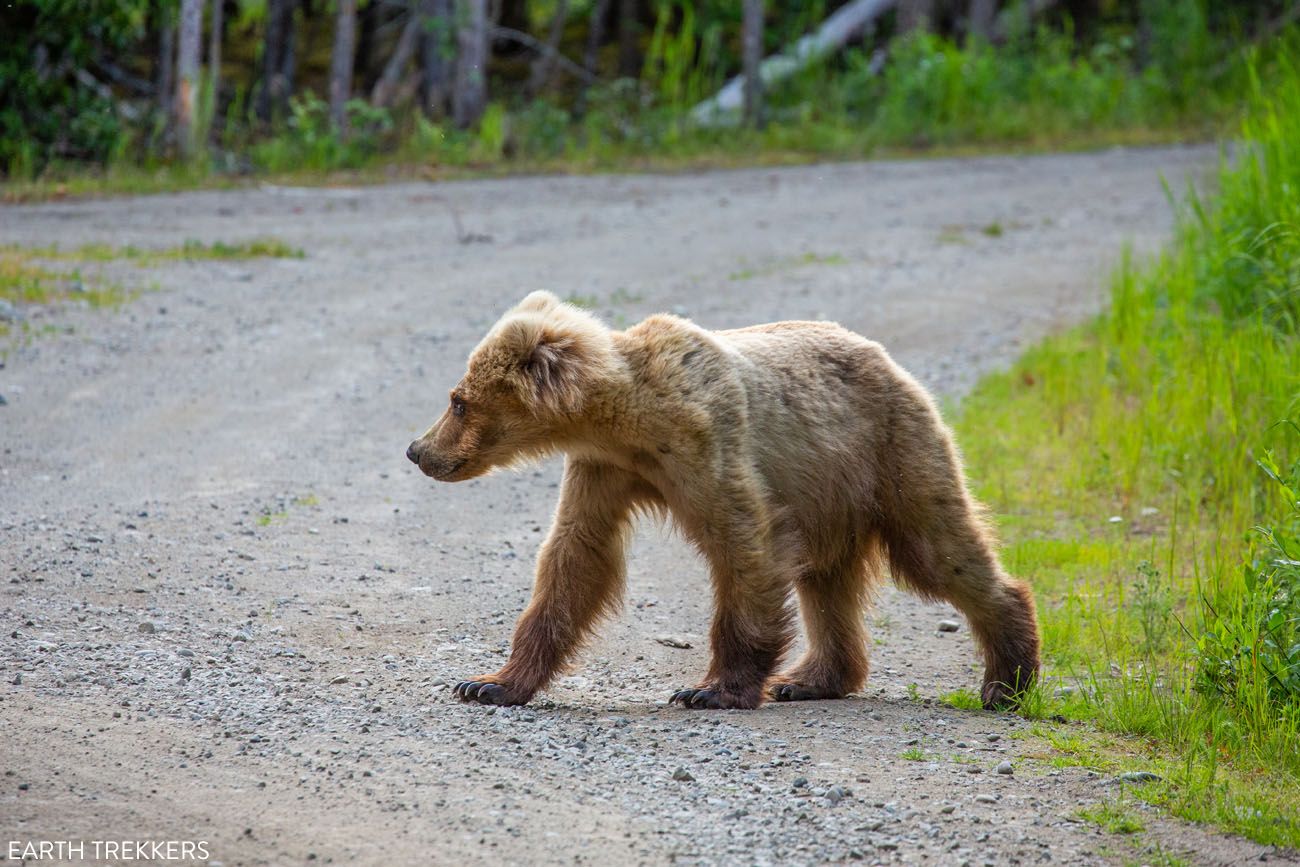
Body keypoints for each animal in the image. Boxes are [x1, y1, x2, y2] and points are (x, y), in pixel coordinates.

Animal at [403, 291, 1034, 712]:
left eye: (458, 400)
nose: (417, 449)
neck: (626, 420)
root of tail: (887, 358)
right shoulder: (604, 470)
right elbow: (575, 556)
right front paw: (488, 682)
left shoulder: (705, 443)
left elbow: (744, 546)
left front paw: (709, 689)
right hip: (828, 492)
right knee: (827, 580)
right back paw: (810, 679)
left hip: (891, 452)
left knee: (938, 550)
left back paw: (1007, 678)